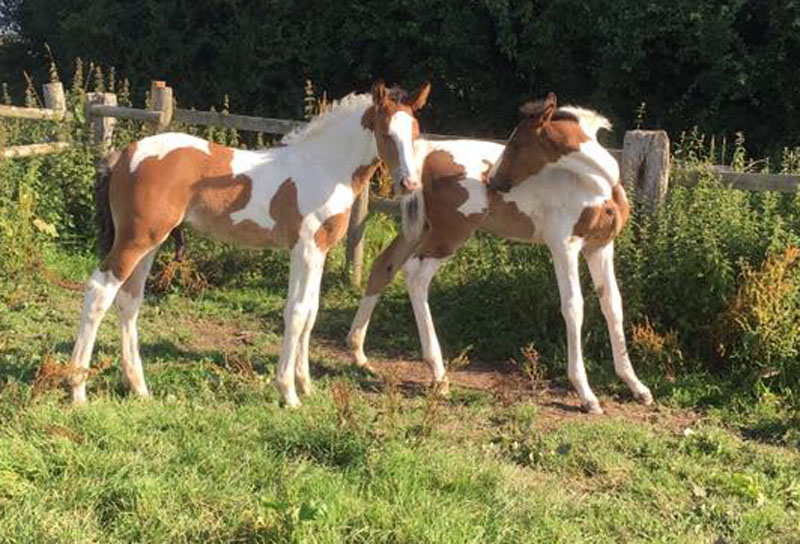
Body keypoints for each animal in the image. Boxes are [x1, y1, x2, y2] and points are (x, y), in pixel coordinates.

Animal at [69, 82, 432, 408]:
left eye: (415, 133)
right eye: (385, 133)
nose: (409, 183)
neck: (323, 167)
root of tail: (123, 156)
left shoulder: (320, 250)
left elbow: (311, 311)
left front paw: (306, 385)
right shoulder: (305, 248)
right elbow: (296, 312)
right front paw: (288, 393)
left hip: (150, 243)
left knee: (129, 300)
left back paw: (139, 387)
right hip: (136, 240)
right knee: (100, 291)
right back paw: (78, 390)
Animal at [346, 92, 652, 412]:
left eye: (516, 143)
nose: (494, 181)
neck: (595, 184)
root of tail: (422, 156)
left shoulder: (600, 246)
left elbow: (613, 305)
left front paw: (637, 386)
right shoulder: (563, 245)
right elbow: (573, 307)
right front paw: (586, 394)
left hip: (420, 228)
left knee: (385, 266)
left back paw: (358, 352)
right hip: (450, 233)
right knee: (416, 275)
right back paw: (438, 374)